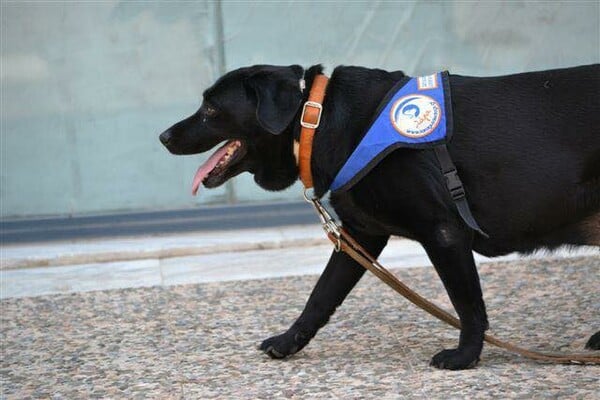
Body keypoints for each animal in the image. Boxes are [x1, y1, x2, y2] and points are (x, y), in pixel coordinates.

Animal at [161, 63, 600, 368]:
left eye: (210, 108)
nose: (163, 136)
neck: (316, 120)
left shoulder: (444, 233)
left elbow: (467, 304)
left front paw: (465, 356)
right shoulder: (359, 236)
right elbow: (320, 297)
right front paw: (289, 342)